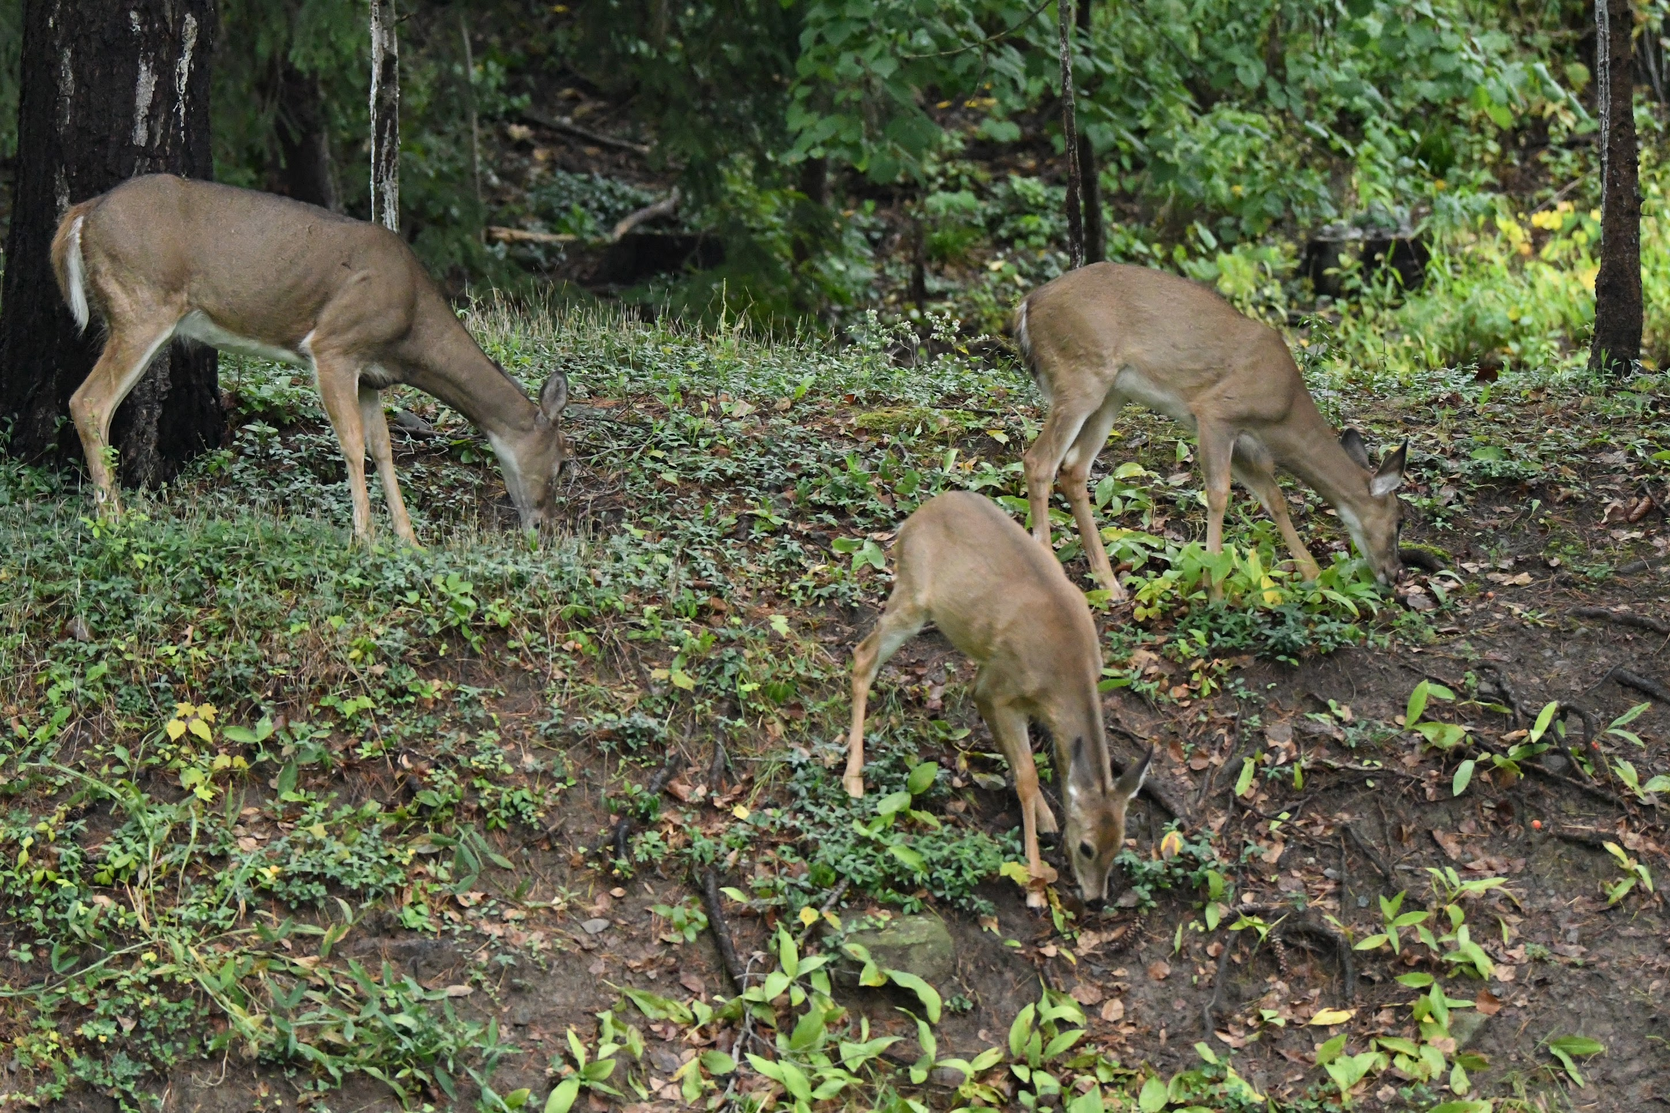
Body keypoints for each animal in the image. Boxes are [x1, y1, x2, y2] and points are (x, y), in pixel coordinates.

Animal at [49, 174, 570, 544]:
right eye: (563, 464)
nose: (544, 528)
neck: (412, 328)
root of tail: (81, 214)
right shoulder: (334, 346)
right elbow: (352, 444)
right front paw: (365, 538)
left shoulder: (370, 377)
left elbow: (383, 449)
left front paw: (410, 540)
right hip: (142, 305)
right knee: (88, 402)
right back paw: (113, 518)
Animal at [843, 490, 1153, 909]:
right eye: (1087, 847)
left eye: (1119, 844)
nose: (1095, 900)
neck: (1065, 666)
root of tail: (915, 517)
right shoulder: (1004, 688)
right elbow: (1027, 776)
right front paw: (1035, 884)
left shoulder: (1001, 687)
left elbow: (1055, 768)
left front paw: (1047, 820)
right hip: (911, 597)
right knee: (863, 656)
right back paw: (853, 780)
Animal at [1012, 262, 1409, 601]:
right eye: (1399, 521)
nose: (1394, 574)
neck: (1282, 411)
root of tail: (1027, 305)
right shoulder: (1216, 413)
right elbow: (1219, 494)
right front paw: (1214, 586)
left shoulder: (1248, 445)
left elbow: (1274, 497)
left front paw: (1312, 575)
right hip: (1080, 377)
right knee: (1038, 461)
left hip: (1112, 393)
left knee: (1073, 468)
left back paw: (1109, 584)